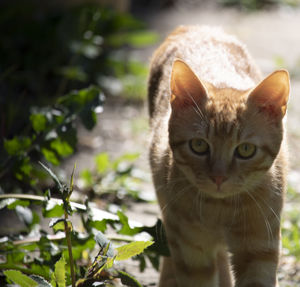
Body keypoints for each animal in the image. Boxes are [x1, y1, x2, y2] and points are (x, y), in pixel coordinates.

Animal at [148, 25, 290, 287]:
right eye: (198, 145)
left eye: (246, 150)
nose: (218, 178)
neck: (220, 207)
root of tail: (197, 27)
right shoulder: (191, 254)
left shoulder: (259, 250)